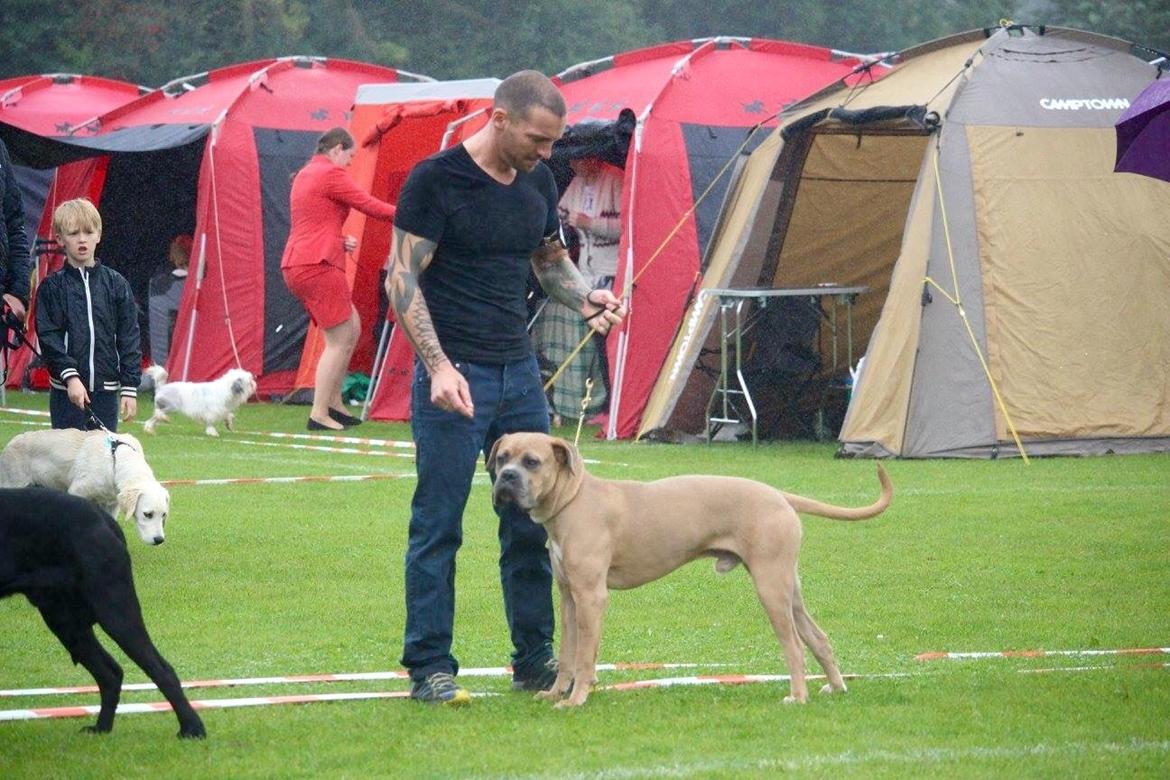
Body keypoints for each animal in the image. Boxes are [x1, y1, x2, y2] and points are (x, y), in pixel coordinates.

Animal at [0, 430, 170, 547]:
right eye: (148, 514)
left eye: (163, 515)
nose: (159, 540)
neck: (115, 461)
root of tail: (11, 442)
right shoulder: (78, 492)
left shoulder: (112, 504)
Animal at [0, 488, 205, 739]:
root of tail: (102, 518)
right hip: (64, 618)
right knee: (110, 672)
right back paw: (101, 727)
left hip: (114, 609)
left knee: (161, 669)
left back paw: (192, 727)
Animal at [489, 432, 889, 706]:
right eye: (502, 457)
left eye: (532, 462)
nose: (506, 477)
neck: (572, 501)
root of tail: (779, 495)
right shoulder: (569, 598)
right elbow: (569, 653)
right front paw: (557, 693)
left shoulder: (591, 597)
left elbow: (586, 656)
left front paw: (576, 699)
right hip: (789, 589)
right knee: (817, 638)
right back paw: (835, 685)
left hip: (770, 587)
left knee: (793, 646)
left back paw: (798, 695)